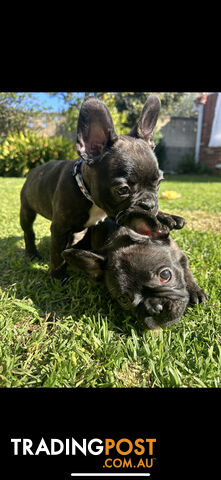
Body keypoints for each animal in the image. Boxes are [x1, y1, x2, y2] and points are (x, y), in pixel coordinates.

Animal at [19, 94, 185, 278]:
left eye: (159, 182)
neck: (89, 197)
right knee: (29, 231)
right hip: (26, 210)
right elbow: (58, 256)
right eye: (122, 190)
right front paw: (58, 278)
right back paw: (32, 252)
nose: (149, 204)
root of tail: (33, 171)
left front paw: (167, 216)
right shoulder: (60, 229)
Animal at [61, 215, 207, 330]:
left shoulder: (180, 255)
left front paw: (195, 291)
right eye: (124, 299)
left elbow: (186, 272)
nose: (154, 309)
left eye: (165, 275)